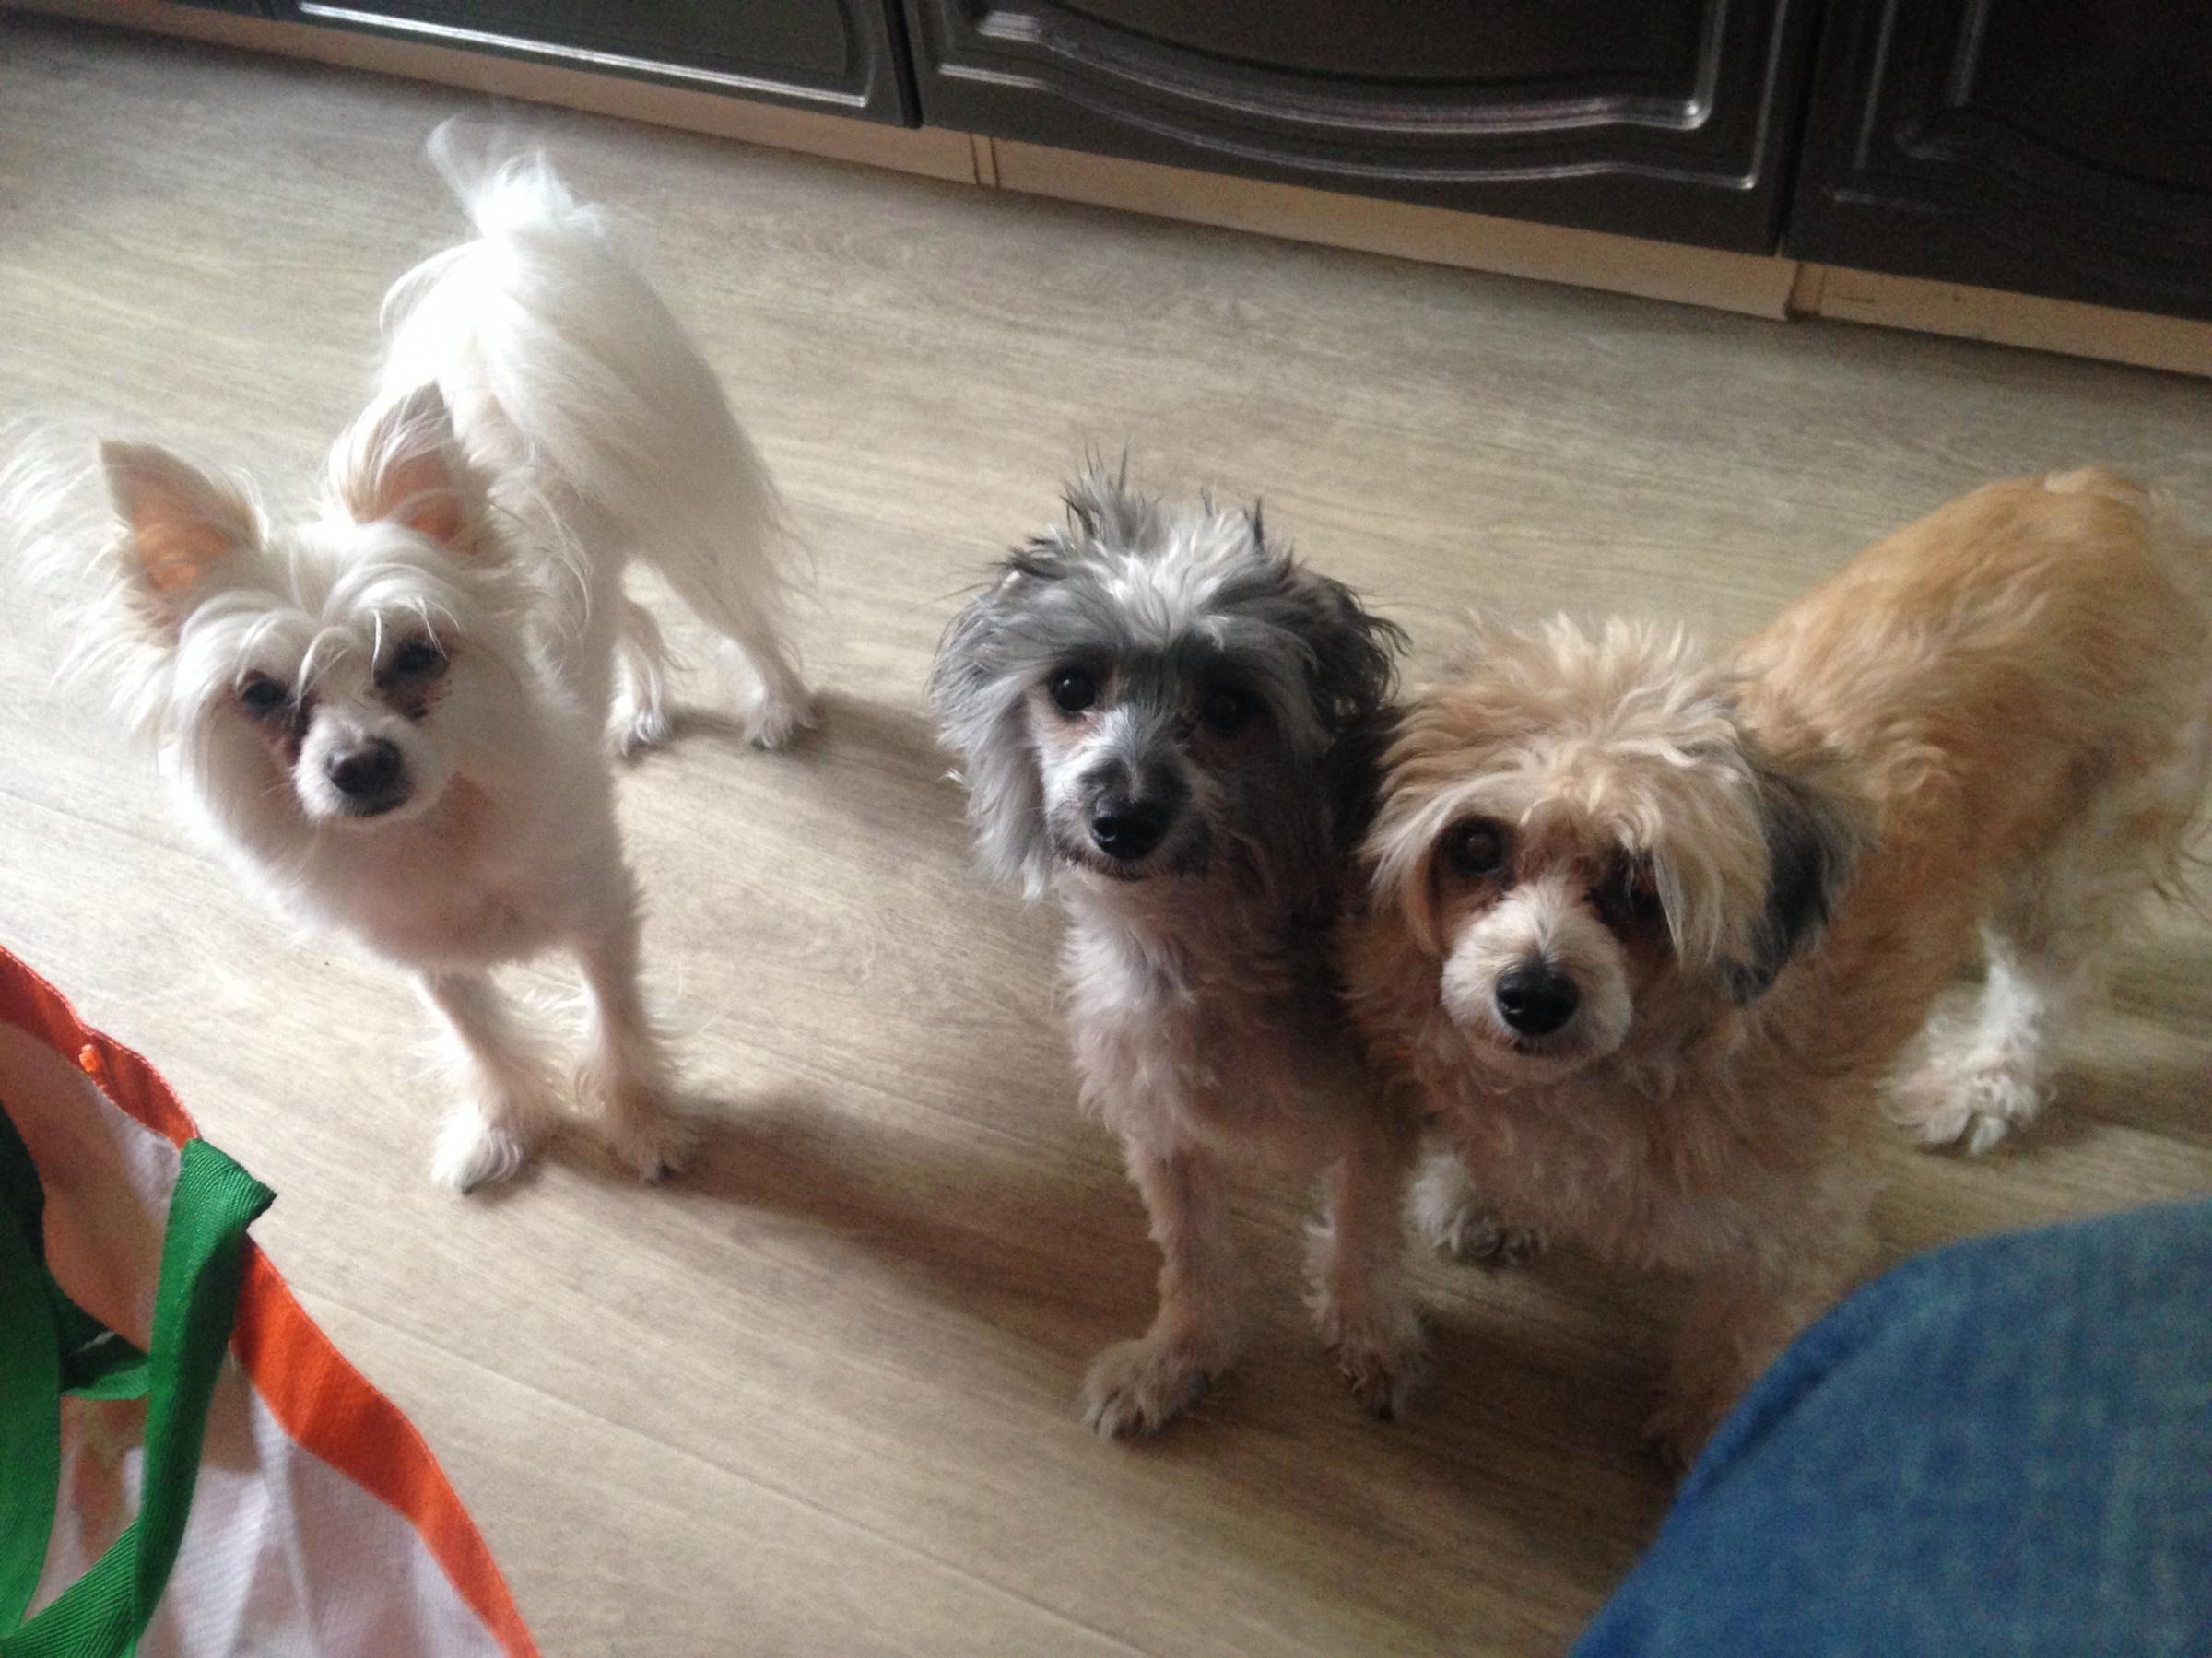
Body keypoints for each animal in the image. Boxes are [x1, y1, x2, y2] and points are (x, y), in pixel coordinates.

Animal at [9, 136, 806, 1190]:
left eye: (419, 653)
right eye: (259, 693)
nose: (359, 763)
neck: (437, 831)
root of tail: (504, 275)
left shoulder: (603, 915)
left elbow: (618, 1021)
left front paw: (644, 1124)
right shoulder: (427, 962)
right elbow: (480, 1036)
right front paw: (505, 1124)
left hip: (670, 526)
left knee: (742, 620)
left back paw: (777, 706)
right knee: (631, 618)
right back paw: (637, 707)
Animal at [929, 469, 1421, 1435]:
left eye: (1230, 707)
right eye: (1071, 685)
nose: (1122, 818)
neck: (1194, 942)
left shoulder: (1378, 1113)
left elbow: (1362, 1231)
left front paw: (1367, 1332)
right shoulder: (1160, 1130)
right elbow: (1192, 1252)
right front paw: (1180, 1358)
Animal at [1346, 470, 2210, 1460]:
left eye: (1641, 884)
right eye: (1477, 844)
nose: (1532, 993)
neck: (1642, 1059)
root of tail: (2121, 500)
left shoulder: (1800, 1221)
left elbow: (1744, 1330)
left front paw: (1710, 1434)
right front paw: (1489, 1196)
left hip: (2072, 865)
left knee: (2042, 991)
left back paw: (1980, 1078)